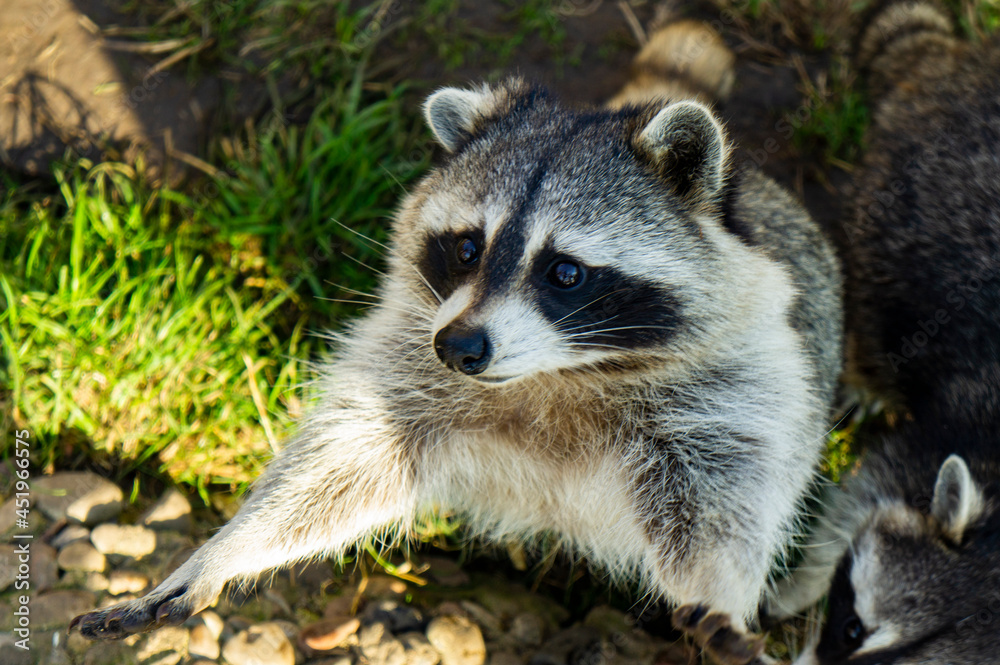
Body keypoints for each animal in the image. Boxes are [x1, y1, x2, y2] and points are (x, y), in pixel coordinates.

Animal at [70, 19, 840, 660]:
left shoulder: (731, 390)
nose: (461, 349)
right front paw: (228, 548)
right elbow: (339, 465)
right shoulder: (411, 356)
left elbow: (719, 507)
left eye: (565, 272)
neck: (554, 373)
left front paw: (722, 597)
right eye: (467, 248)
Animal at [764, 2, 1000, 660]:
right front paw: (804, 580)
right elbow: (864, 491)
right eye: (852, 628)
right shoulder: (957, 425)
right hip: (894, 218)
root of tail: (952, 70)